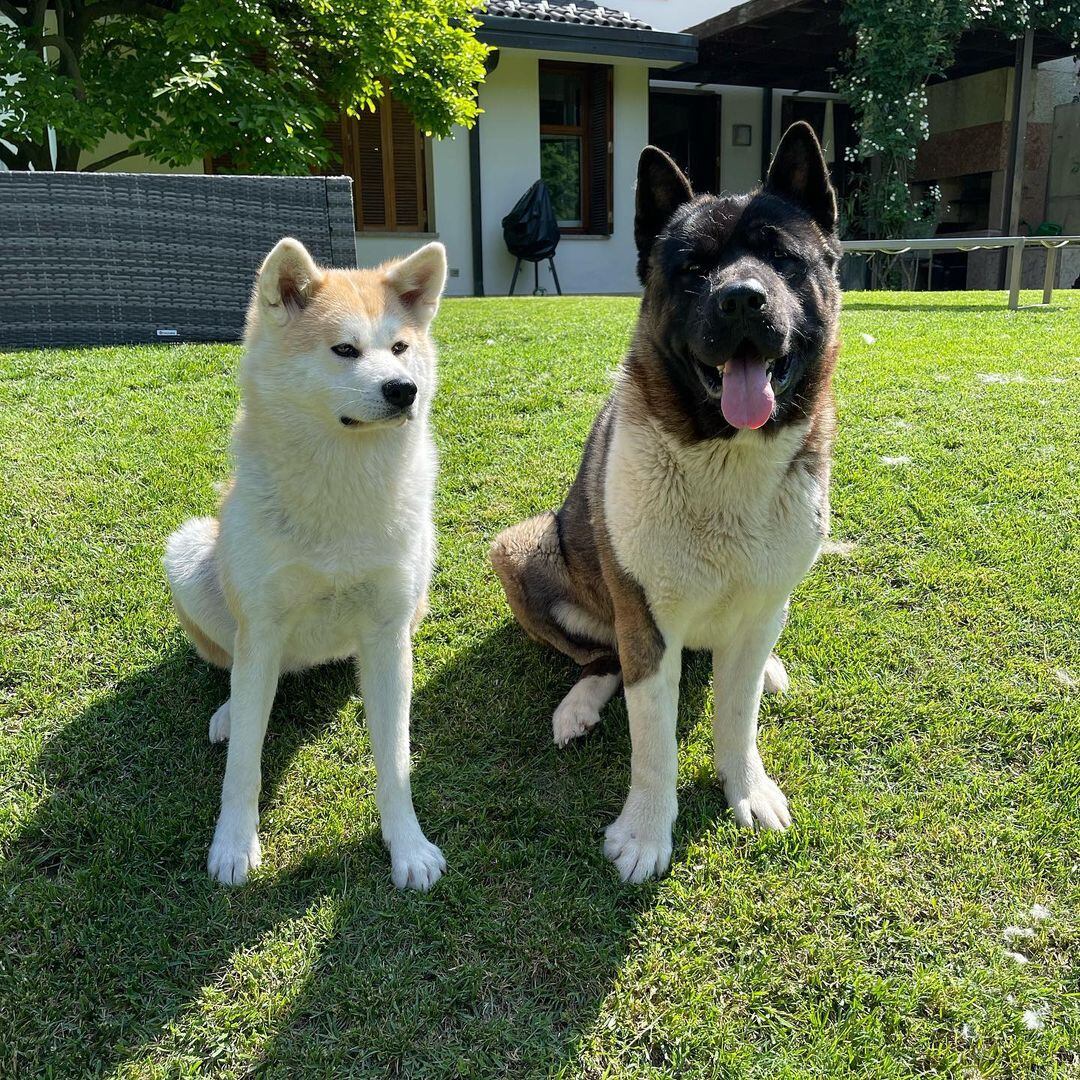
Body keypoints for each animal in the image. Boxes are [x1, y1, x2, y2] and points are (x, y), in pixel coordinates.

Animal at [163, 240, 447, 889]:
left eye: (400, 348)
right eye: (344, 350)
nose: (404, 390)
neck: (342, 482)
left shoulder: (389, 628)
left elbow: (395, 761)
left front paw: (408, 846)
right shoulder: (263, 626)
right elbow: (244, 761)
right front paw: (233, 844)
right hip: (191, 557)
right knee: (237, 672)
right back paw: (229, 708)